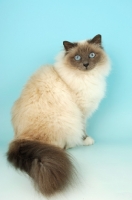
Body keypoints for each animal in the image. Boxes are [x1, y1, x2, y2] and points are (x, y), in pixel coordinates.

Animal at [6, 34, 111, 197]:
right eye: (78, 57)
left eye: (92, 55)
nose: (86, 64)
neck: (86, 78)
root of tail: (19, 138)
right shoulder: (81, 111)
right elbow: (83, 128)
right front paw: (86, 140)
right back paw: (68, 146)